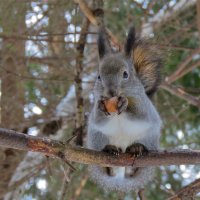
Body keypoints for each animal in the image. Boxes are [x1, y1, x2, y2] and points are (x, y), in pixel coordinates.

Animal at [86, 27, 162, 192]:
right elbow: (98, 119)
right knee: (109, 169)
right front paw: (101, 106)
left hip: (150, 137)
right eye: (99, 76)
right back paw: (110, 153)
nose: (111, 92)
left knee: (133, 170)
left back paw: (136, 150)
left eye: (125, 74)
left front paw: (125, 103)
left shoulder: (144, 107)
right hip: (97, 137)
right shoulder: (96, 118)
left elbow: (139, 114)